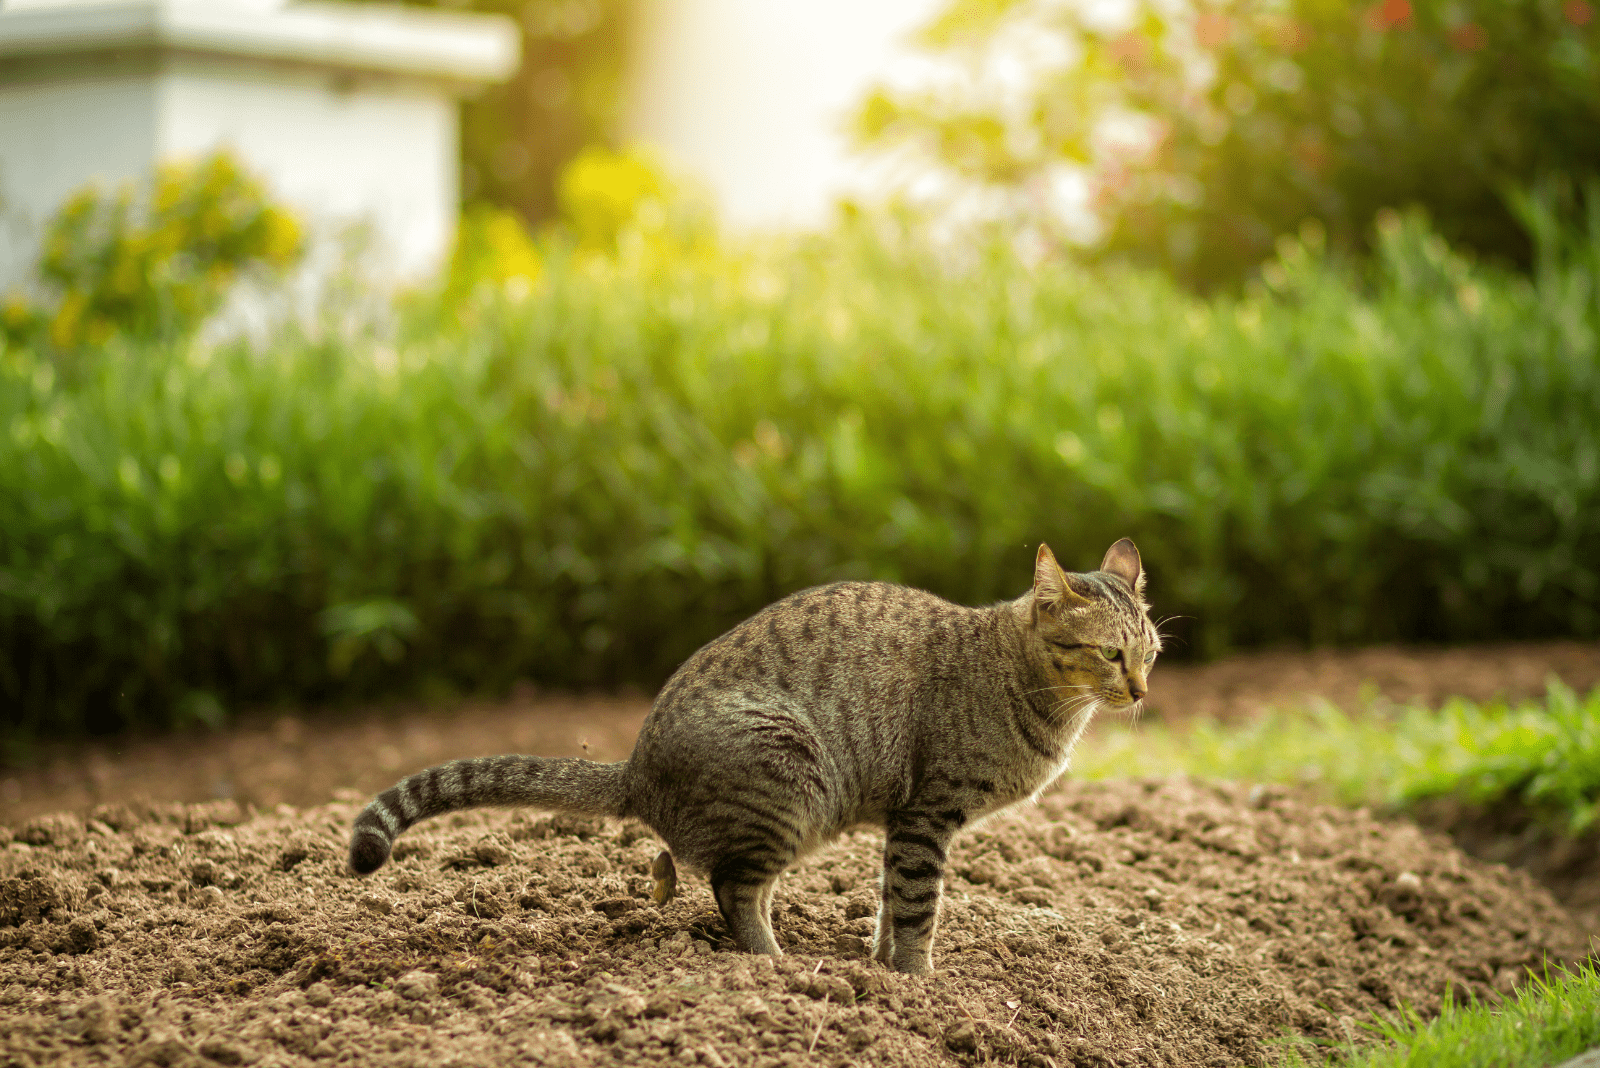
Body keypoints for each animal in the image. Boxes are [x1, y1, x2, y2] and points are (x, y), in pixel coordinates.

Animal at [350, 546, 1158, 972]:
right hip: (788, 782)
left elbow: (889, 900)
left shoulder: (903, 823)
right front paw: (916, 982)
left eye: (1150, 651)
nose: (1143, 691)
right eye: (1110, 654)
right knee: (734, 888)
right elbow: (917, 906)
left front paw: (879, 967)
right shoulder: (927, 815)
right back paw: (773, 966)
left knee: (745, 886)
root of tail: (637, 768)